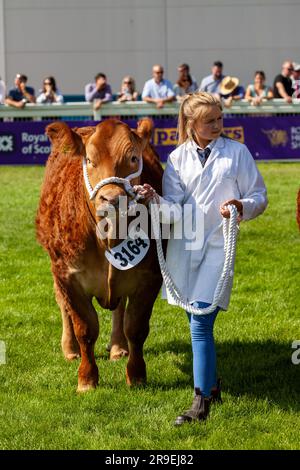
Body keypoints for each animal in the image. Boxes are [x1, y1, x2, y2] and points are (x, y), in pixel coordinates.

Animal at [36, 119, 165, 392]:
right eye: (89, 160)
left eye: (133, 157)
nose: (112, 198)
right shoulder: (68, 276)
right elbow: (85, 328)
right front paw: (86, 379)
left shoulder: (150, 276)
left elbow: (136, 327)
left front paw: (136, 375)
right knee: (62, 304)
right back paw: (70, 349)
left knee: (119, 309)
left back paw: (118, 347)